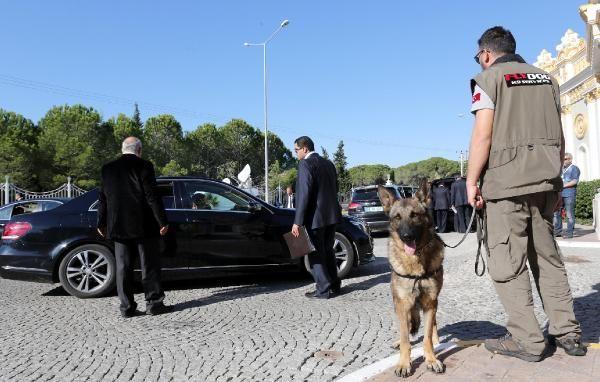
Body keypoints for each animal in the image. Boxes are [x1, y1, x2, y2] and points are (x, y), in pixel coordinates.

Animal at [378, 184, 442, 378]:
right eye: (397, 217)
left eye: (414, 215)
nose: (406, 236)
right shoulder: (403, 304)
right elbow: (406, 338)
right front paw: (404, 363)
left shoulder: (430, 303)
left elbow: (427, 337)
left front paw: (431, 359)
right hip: (399, 305)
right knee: (404, 326)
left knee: (433, 324)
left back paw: (437, 339)